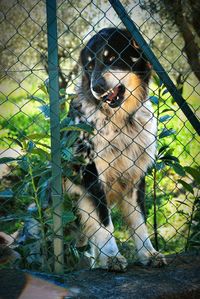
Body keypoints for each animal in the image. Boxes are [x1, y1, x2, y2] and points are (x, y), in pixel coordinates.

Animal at [64, 28, 166, 272]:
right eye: (90, 65)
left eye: (112, 59)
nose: (96, 87)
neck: (121, 121)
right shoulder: (92, 175)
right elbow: (105, 223)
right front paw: (112, 257)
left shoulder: (135, 177)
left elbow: (139, 221)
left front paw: (148, 253)